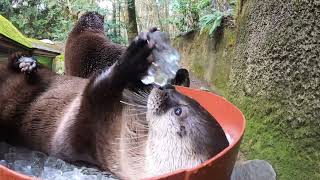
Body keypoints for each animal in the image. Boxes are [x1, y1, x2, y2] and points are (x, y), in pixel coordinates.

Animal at [0, 31, 230, 179]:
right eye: (191, 100)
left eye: (178, 111)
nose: (167, 88)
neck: (121, 128)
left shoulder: (80, 132)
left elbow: (97, 89)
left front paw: (132, 61)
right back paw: (27, 63)